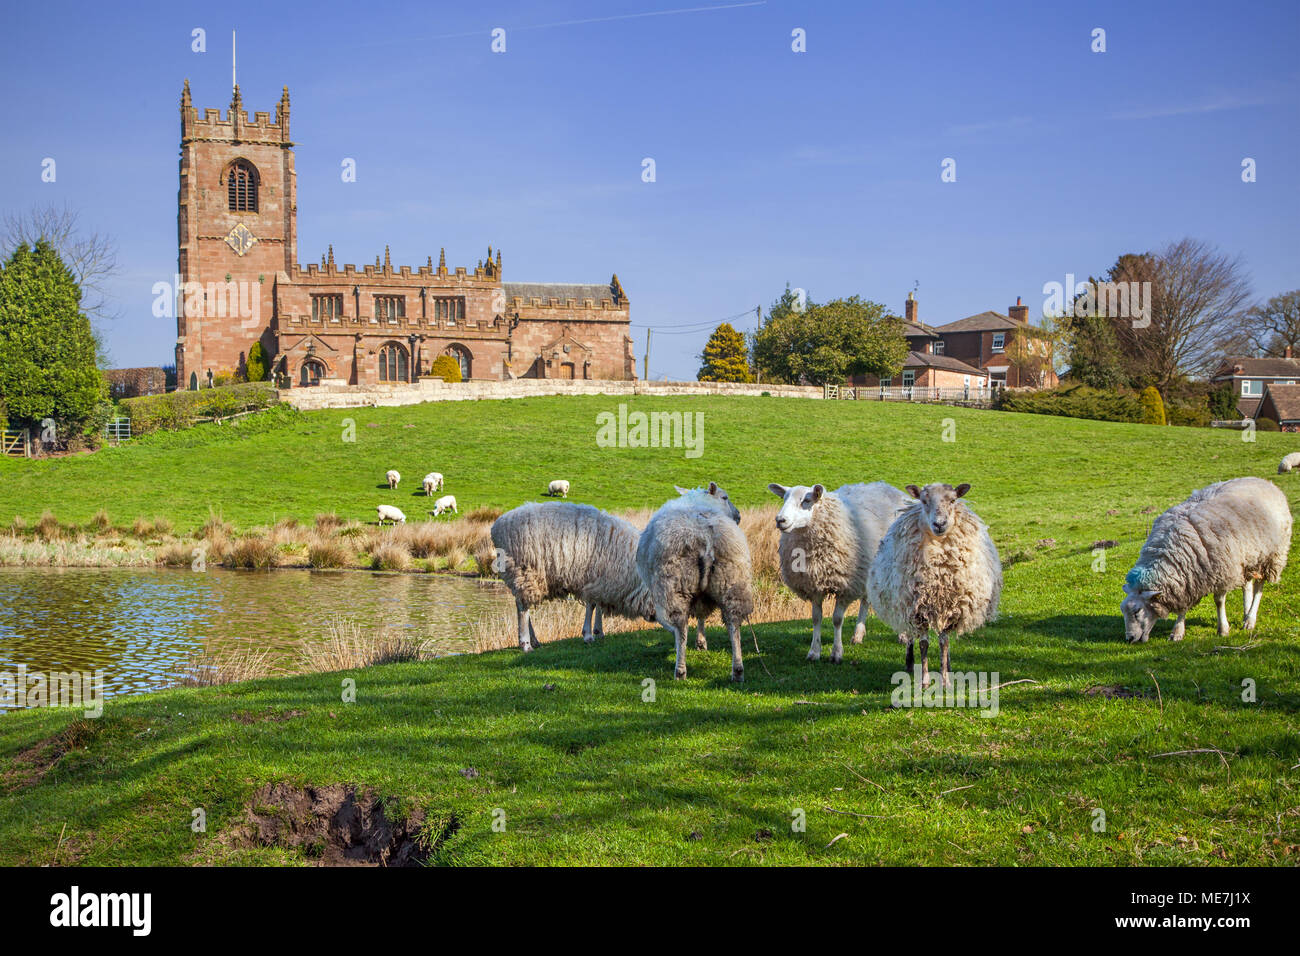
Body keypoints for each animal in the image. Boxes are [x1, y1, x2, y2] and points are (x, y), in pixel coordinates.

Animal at [488, 502, 655, 650]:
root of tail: (496, 527)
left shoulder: (600, 580)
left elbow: (597, 604)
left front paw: (598, 631)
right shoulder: (594, 578)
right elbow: (592, 605)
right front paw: (588, 635)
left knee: (522, 604)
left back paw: (534, 640)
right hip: (525, 572)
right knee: (523, 607)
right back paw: (526, 644)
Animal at [637, 486, 759, 681]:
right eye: (725, 497)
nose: (739, 515)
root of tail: (705, 537)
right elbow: (702, 615)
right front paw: (701, 642)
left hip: (674, 586)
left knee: (680, 625)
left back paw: (680, 670)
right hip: (733, 580)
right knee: (734, 624)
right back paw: (738, 670)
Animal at [764, 481, 909, 660]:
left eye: (806, 500)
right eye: (783, 499)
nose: (780, 520)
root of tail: (891, 487)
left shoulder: (845, 585)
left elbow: (837, 619)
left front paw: (836, 653)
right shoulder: (814, 585)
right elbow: (816, 618)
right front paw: (814, 651)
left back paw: (903, 635)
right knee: (866, 600)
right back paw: (858, 635)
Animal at [868, 486, 998, 686]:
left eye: (953, 500)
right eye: (924, 501)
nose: (939, 524)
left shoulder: (951, 608)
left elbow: (944, 643)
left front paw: (945, 680)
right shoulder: (917, 611)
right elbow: (924, 644)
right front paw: (925, 680)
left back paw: (949, 667)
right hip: (905, 606)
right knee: (910, 636)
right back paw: (909, 663)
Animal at [1118, 478, 1289, 642]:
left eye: (1137, 611)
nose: (1129, 639)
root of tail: (1264, 481)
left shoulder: (1221, 572)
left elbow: (1219, 601)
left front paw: (1223, 629)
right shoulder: (1186, 579)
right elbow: (1183, 607)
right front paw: (1177, 632)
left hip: (1271, 556)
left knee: (1259, 587)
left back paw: (1250, 620)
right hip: (1246, 558)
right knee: (1247, 585)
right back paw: (1246, 614)